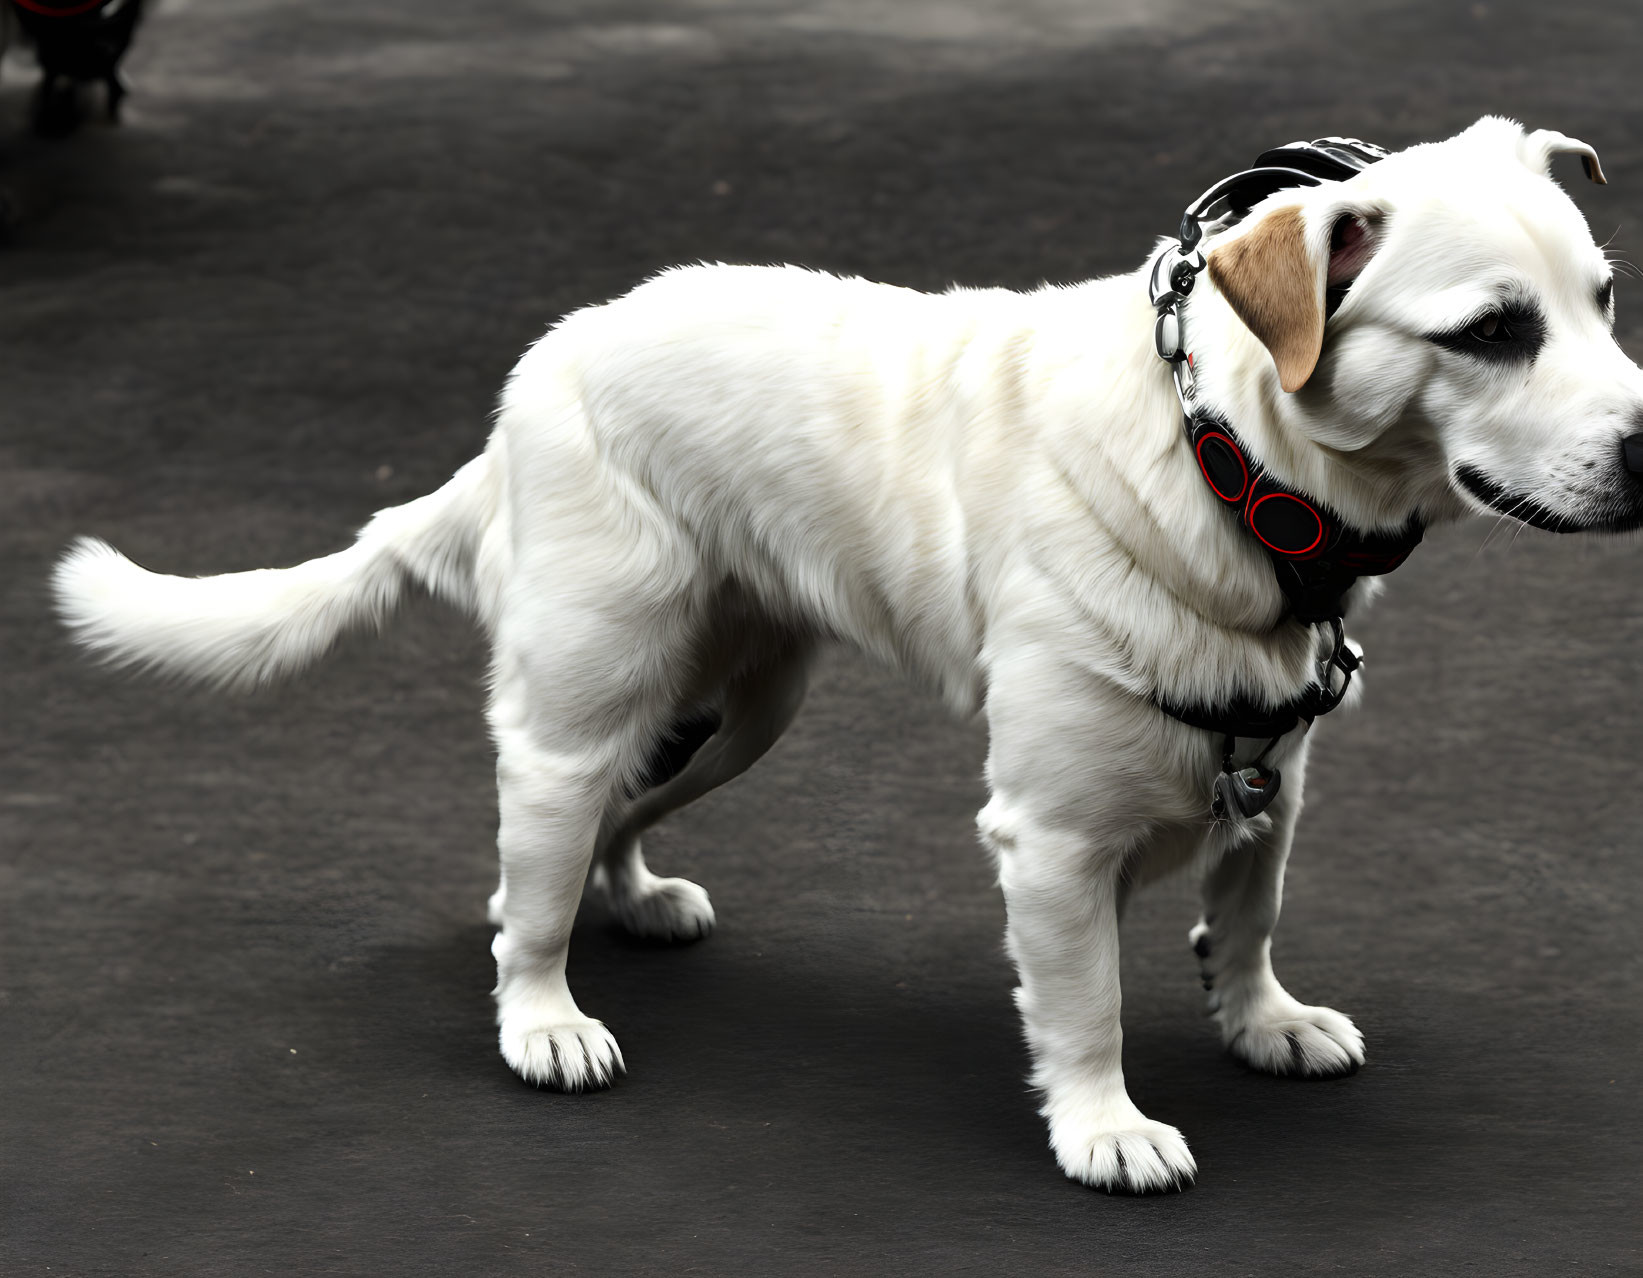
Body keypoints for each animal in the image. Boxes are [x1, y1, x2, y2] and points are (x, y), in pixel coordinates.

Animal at [54, 114, 1643, 1189]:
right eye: (1489, 331)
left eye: (1602, 297)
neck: (1225, 464)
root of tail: (532, 382)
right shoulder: (1051, 839)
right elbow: (1084, 1004)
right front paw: (1102, 1124)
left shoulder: (1273, 771)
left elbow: (1244, 914)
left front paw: (1259, 1019)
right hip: (586, 702)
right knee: (528, 881)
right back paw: (542, 1014)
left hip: (732, 707)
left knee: (595, 836)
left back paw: (625, 903)